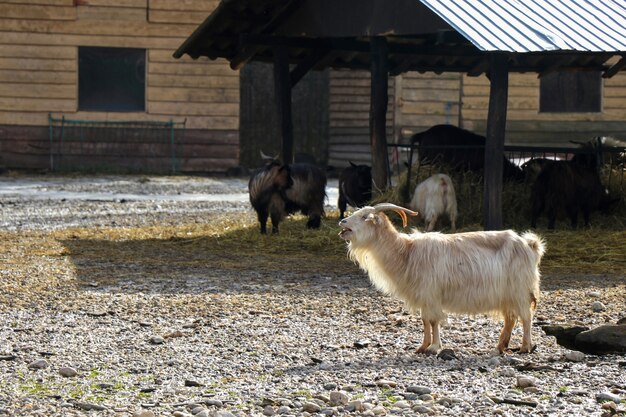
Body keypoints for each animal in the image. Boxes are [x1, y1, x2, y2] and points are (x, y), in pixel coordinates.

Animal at [338, 203, 544, 352]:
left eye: (364, 217)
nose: (342, 222)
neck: (407, 253)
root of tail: (530, 245)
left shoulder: (431, 293)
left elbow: (433, 320)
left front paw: (434, 347)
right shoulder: (424, 296)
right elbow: (425, 320)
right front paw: (422, 347)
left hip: (519, 290)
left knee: (526, 317)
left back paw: (525, 347)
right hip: (507, 294)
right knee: (511, 318)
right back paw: (500, 346)